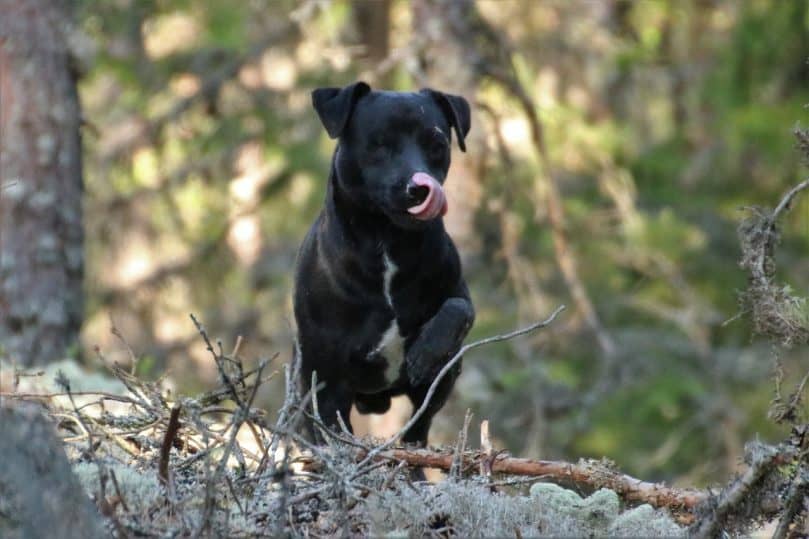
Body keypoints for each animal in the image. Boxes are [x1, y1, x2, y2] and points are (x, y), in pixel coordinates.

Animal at [294, 82, 474, 450]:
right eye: (379, 145)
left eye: (437, 145)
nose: (419, 188)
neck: (388, 244)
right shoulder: (326, 383)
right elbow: (334, 437)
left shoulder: (458, 292)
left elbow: (458, 308)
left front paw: (427, 350)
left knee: (418, 428)